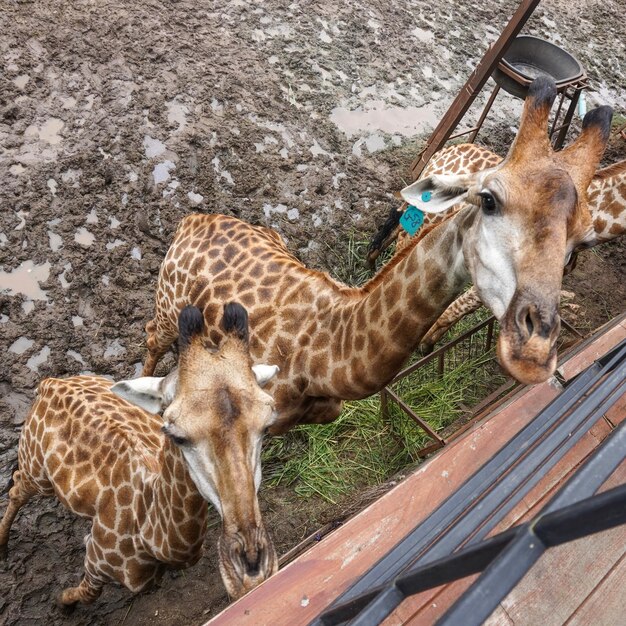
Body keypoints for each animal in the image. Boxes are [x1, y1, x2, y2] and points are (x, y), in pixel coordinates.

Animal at [0, 302, 278, 604]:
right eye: (177, 435)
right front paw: (62, 602)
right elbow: (86, 594)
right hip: (37, 471)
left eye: (266, 425)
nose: (250, 568)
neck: (150, 537)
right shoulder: (96, 562)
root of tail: (50, 382)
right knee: (17, 489)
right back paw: (2, 547)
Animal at [140, 75, 608, 432]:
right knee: (149, 337)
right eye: (489, 200)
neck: (323, 359)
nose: (534, 354)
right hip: (165, 311)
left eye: (581, 239)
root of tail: (193, 219)